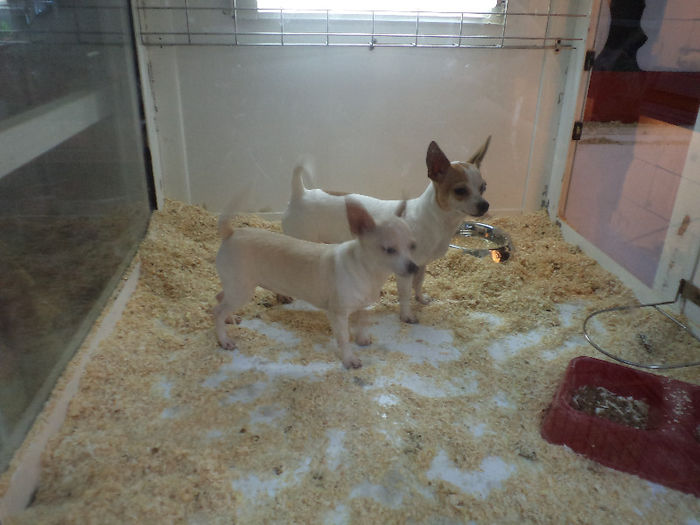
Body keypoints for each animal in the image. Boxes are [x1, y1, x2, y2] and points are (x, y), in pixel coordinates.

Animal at [213, 198, 418, 368]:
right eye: (389, 250)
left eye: (412, 246)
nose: (414, 268)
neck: (368, 271)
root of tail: (231, 232)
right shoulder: (338, 314)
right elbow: (344, 338)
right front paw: (349, 359)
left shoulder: (362, 307)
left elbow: (361, 324)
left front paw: (362, 339)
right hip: (242, 290)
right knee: (217, 311)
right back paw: (223, 340)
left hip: (236, 287)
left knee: (220, 297)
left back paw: (230, 319)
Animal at [282, 137, 490, 322]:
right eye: (460, 191)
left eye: (483, 188)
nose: (485, 205)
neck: (436, 220)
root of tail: (300, 193)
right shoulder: (405, 270)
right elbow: (405, 295)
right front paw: (406, 316)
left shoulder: (420, 265)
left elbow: (419, 284)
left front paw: (421, 299)